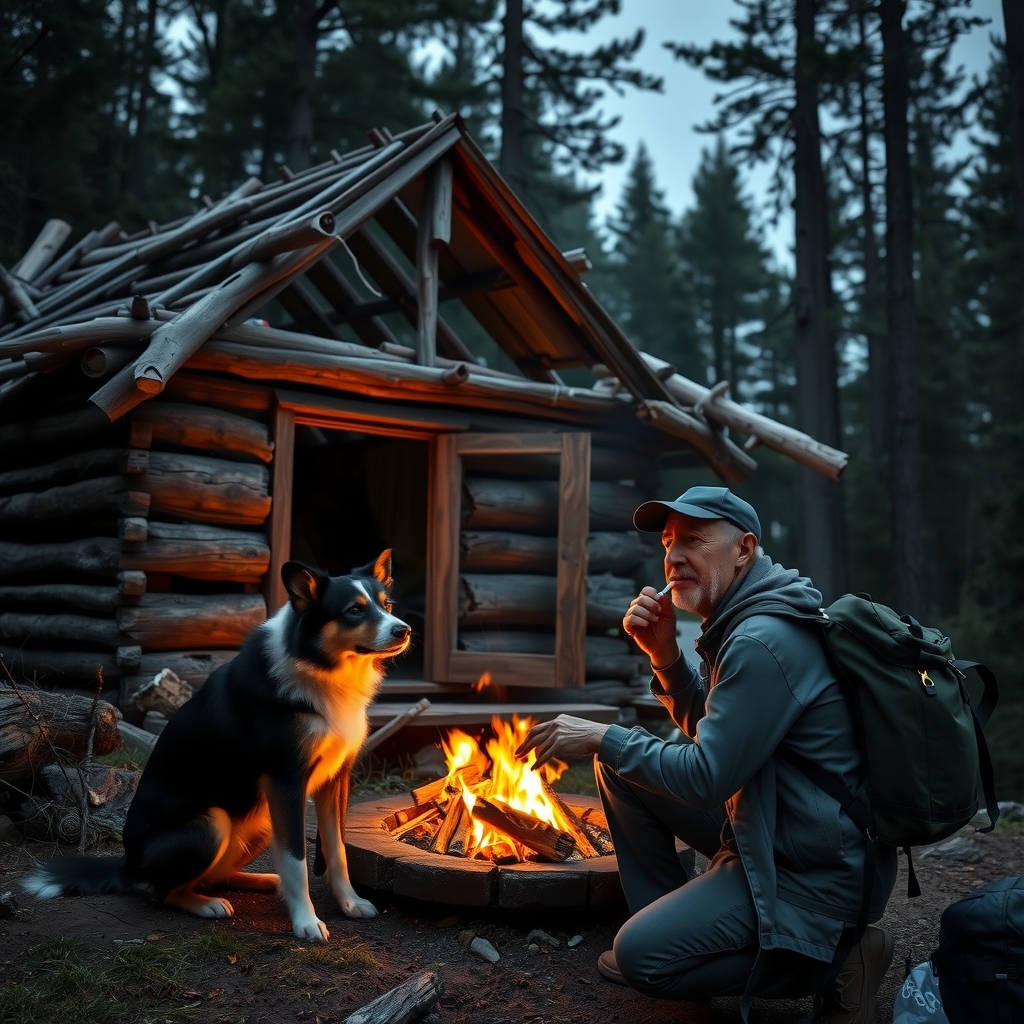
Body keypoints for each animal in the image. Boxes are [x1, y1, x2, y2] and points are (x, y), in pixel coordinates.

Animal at [24, 548, 407, 937]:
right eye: (354, 610)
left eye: (387, 604)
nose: (403, 629)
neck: (320, 666)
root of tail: (128, 864)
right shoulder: (286, 780)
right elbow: (296, 859)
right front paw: (306, 921)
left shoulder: (335, 779)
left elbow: (337, 849)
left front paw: (349, 903)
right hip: (214, 823)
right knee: (163, 892)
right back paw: (206, 904)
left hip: (260, 816)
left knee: (215, 876)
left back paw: (265, 883)